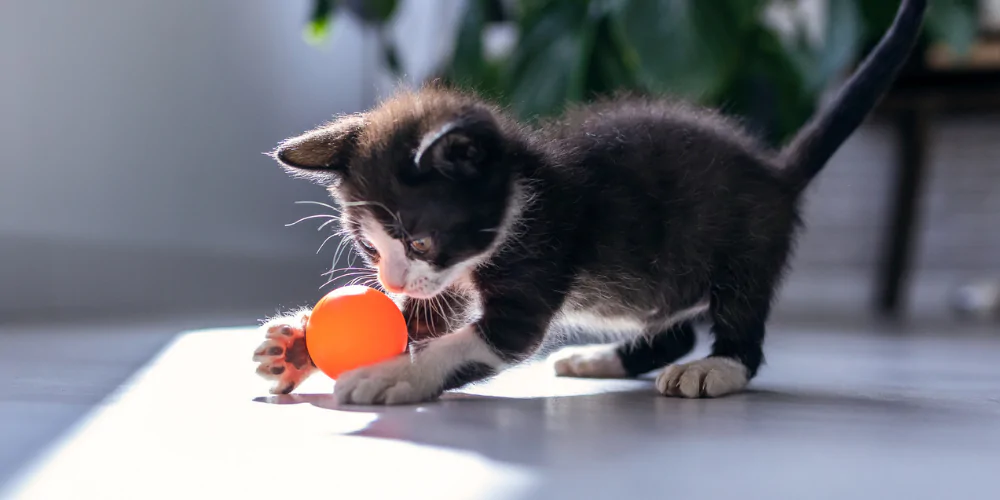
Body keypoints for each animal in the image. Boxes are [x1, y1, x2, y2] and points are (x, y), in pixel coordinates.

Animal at [254, 0, 924, 404]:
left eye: (418, 240)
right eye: (371, 249)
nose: (391, 281)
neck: (522, 197)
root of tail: (776, 172)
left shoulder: (541, 253)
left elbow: (473, 341)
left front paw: (393, 374)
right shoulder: (448, 279)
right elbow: (425, 316)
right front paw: (295, 348)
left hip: (747, 244)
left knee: (740, 320)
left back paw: (717, 367)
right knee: (672, 329)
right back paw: (603, 359)